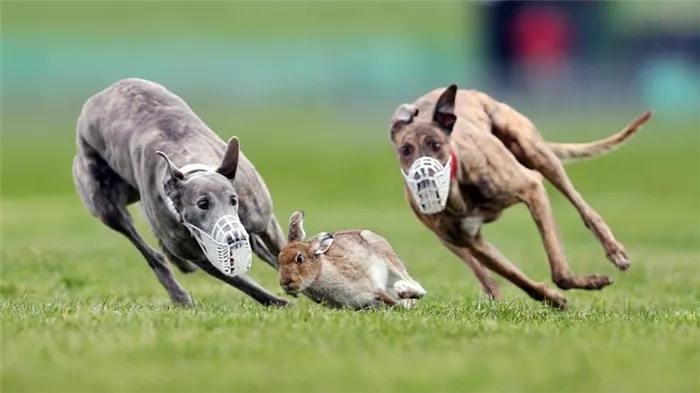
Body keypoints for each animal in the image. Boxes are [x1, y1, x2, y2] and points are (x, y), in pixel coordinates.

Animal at [392, 84, 652, 308]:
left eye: (435, 145)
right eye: (405, 150)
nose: (423, 180)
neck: (457, 189)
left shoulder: (532, 188)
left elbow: (559, 271)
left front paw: (583, 284)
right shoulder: (471, 241)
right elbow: (515, 276)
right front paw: (552, 298)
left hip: (533, 149)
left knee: (581, 205)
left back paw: (614, 250)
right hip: (447, 240)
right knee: (485, 277)